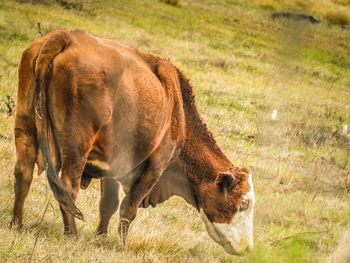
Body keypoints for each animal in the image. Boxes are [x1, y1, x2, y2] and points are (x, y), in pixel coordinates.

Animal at [12, 29, 256, 256]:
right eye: (243, 203)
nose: (247, 248)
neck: (177, 108)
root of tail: (66, 36)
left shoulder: (112, 164)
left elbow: (108, 204)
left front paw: (100, 237)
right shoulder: (156, 165)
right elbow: (128, 208)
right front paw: (121, 246)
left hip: (25, 126)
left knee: (23, 173)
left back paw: (17, 224)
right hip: (76, 146)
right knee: (68, 188)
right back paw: (71, 234)